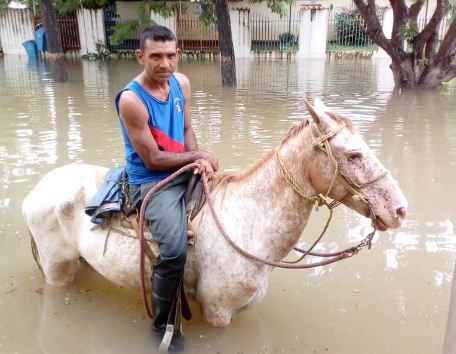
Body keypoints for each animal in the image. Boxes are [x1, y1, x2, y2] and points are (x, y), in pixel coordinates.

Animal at [21, 99, 408, 326]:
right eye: (354, 155)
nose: (400, 210)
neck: (249, 223)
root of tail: (38, 188)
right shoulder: (219, 313)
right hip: (57, 270)